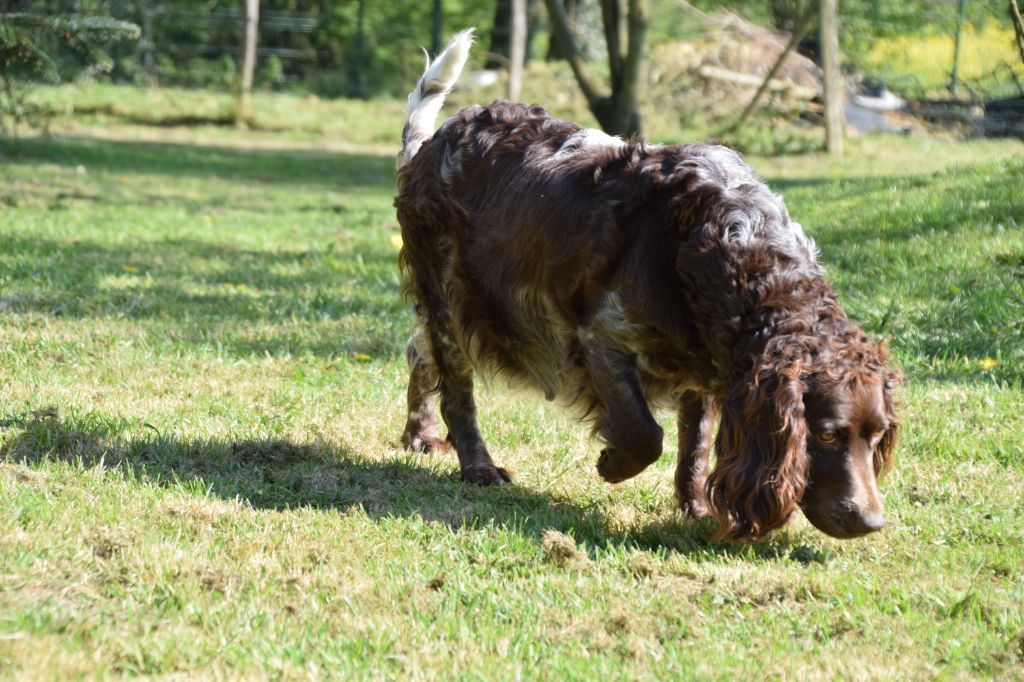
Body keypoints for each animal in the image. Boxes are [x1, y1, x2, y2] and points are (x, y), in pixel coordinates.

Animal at [395, 31, 901, 540]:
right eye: (827, 433)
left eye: (877, 434)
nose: (870, 521)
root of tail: (429, 146)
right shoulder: (601, 338)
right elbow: (645, 434)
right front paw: (613, 463)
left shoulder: (708, 365)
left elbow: (695, 445)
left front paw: (696, 508)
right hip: (451, 300)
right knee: (456, 391)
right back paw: (478, 466)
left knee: (419, 352)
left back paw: (420, 435)